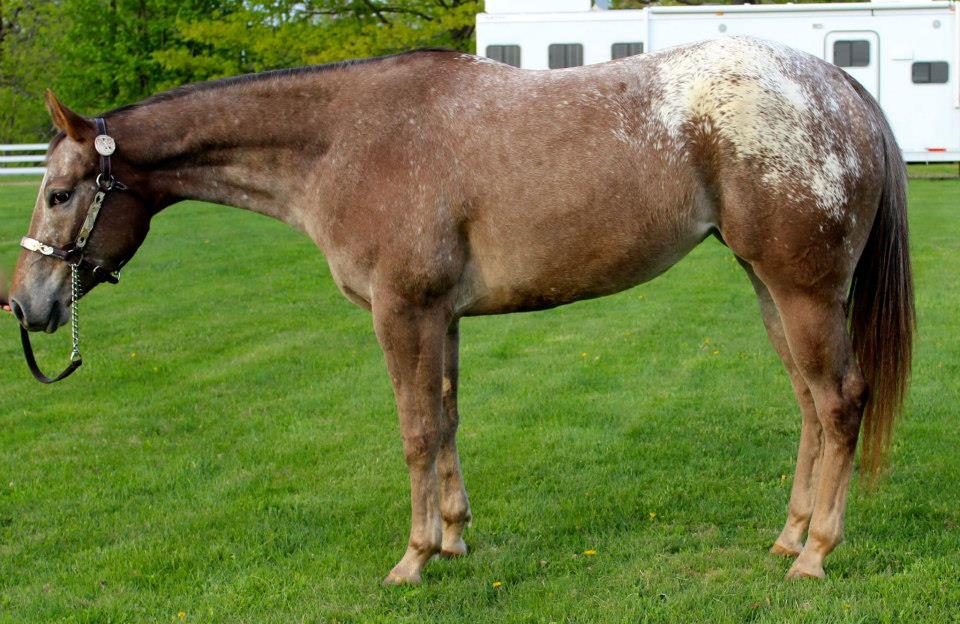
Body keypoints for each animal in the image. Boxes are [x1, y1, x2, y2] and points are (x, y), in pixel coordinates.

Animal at [7, 36, 914, 584]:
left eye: (58, 194)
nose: (24, 303)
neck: (345, 140)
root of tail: (837, 85)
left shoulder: (401, 312)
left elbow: (413, 430)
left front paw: (412, 560)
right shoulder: (439, 317)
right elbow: (444, 422)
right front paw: (452, 538)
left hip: (802, 291)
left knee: (840, 404)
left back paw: (815, 556)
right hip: (769, 287)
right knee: (809, 407)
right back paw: (790, 535)